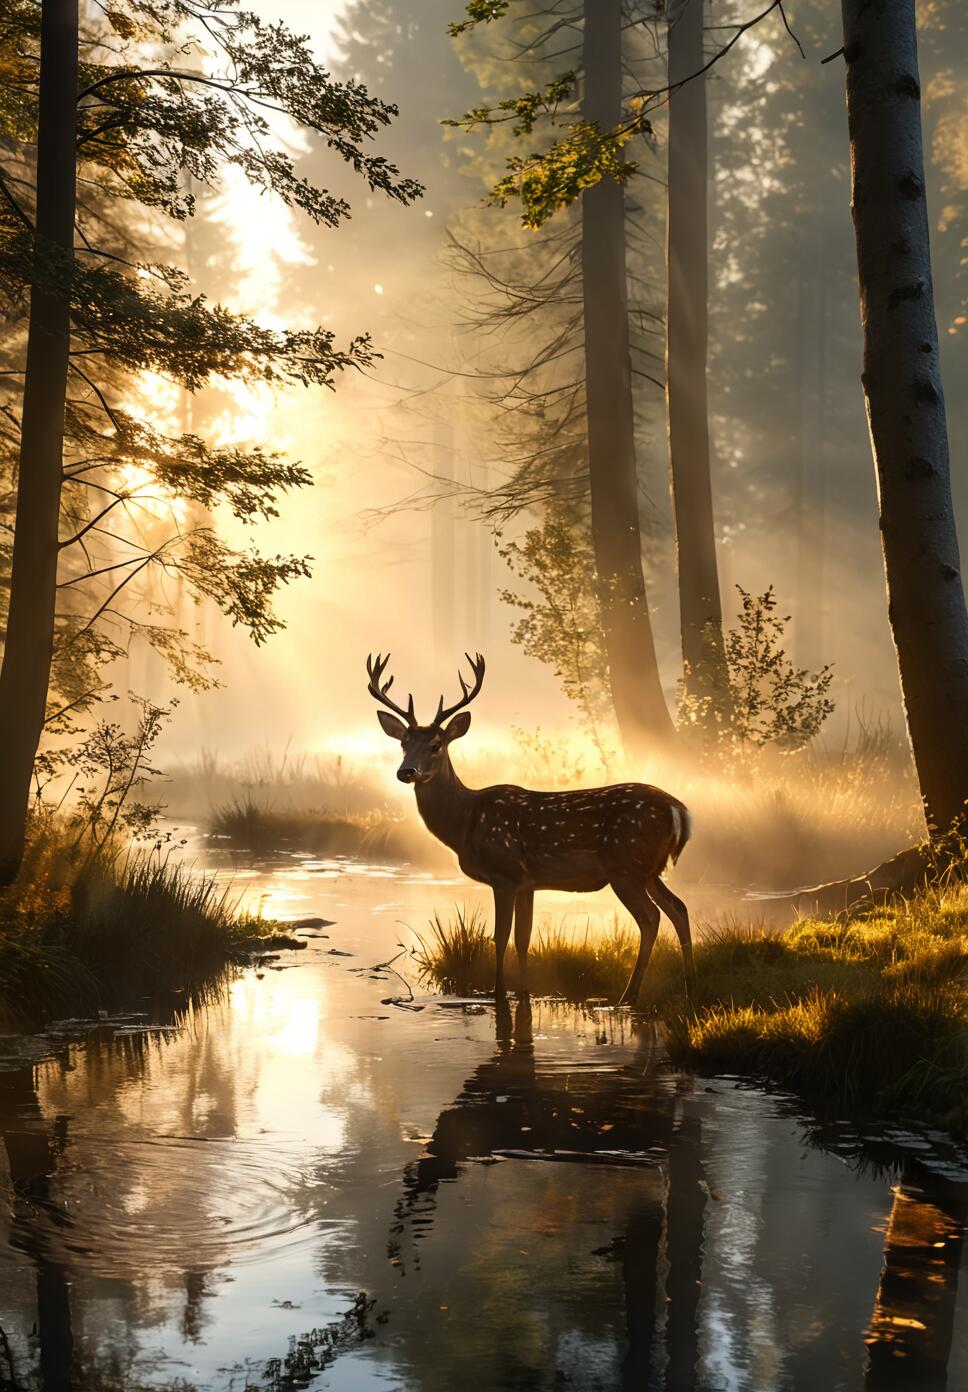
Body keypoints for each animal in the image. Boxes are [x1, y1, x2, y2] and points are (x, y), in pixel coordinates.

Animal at [366, 652, 694, 1005]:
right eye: (404, 743)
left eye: (436, 744)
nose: (406, 771)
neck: (466, 822)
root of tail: (679, 809)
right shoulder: (529, 884)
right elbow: (523, 938)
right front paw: (522, 992)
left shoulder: (505, 872)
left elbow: (500, 937)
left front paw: (497, 993)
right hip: (649, 869)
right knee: (679, 908)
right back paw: (688, 986)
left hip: (626, 865)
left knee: (651, 918)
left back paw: (628, 995)